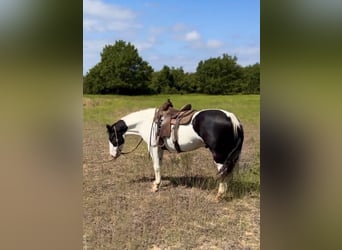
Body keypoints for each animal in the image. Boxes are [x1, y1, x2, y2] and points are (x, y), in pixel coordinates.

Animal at [106, 103, 243, 199]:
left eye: (112, 137)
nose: (112, 156)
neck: (146, 122)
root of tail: (231, 117)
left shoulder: (153, 147)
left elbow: (156, 166)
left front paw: (155, 186)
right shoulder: (160, 148)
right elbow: (159, 165)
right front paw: (158, 183)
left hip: (219, 155)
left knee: (223, 173)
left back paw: (220, 194)